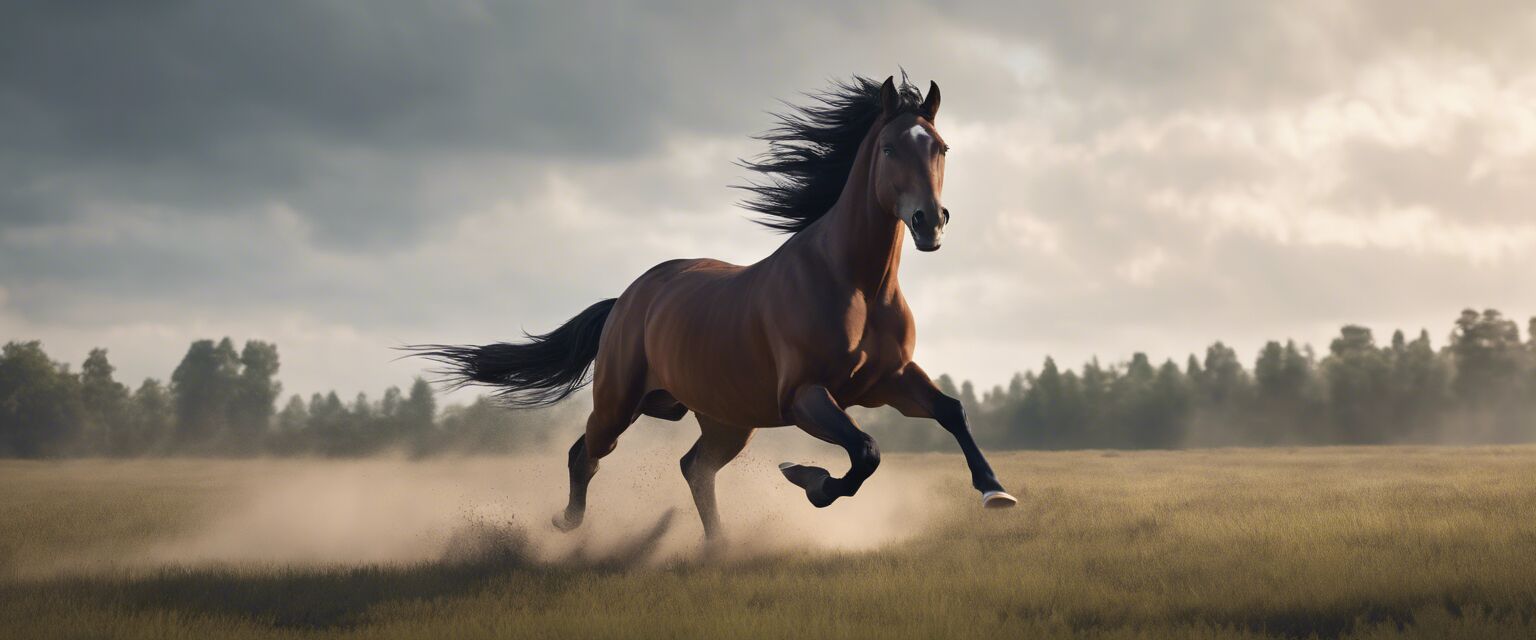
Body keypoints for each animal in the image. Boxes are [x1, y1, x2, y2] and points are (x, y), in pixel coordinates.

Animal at [414, 75, 1019, 540]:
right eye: (891, 147)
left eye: (940, 147)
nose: (929, 222)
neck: (855, 285)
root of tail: (627, 299)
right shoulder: (805, 395)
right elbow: (866, 451)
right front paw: (808, 479)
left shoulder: (886, 381)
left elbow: (951, 411)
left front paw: (995, 492)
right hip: (620, 403)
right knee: (585, 453)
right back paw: (567, 524)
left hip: (727, 420)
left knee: (694, 468)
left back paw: (718, 545)